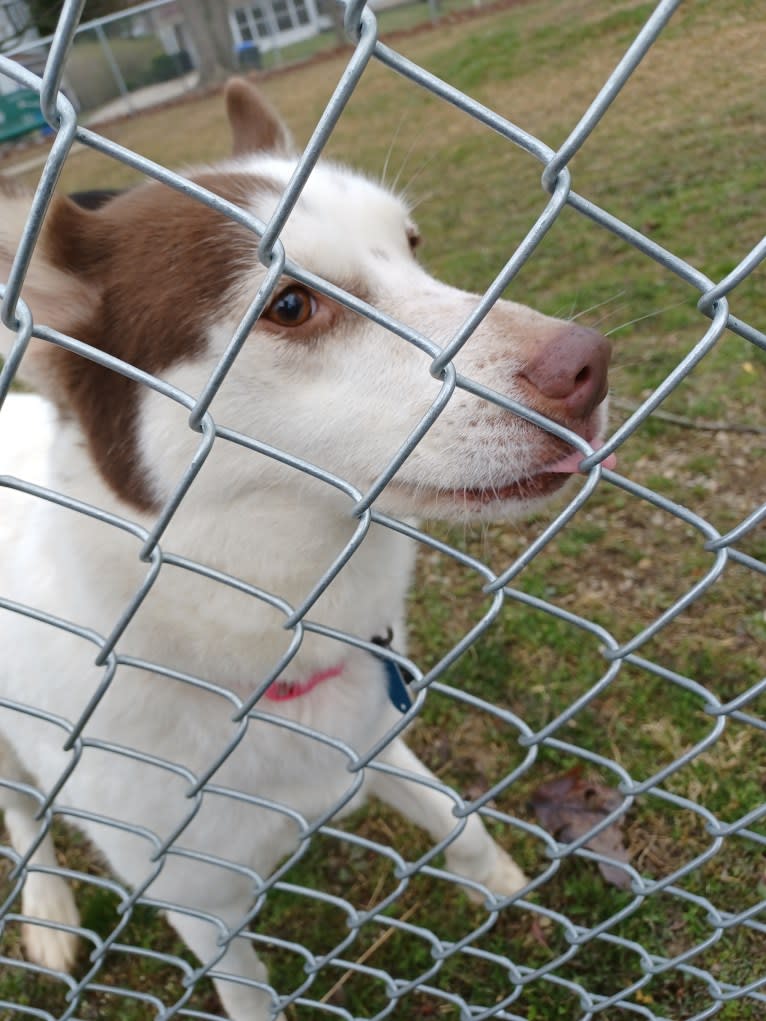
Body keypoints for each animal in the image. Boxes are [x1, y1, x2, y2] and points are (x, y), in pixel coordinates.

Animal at [0, 81, 612, 1021]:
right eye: (289, 305)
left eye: (411, 244)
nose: (589, 365)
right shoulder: (198, 900)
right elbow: (249, 996)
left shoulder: (374, 733)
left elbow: (460, 821)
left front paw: (508, 889)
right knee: (23, 814)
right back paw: (50, 911)